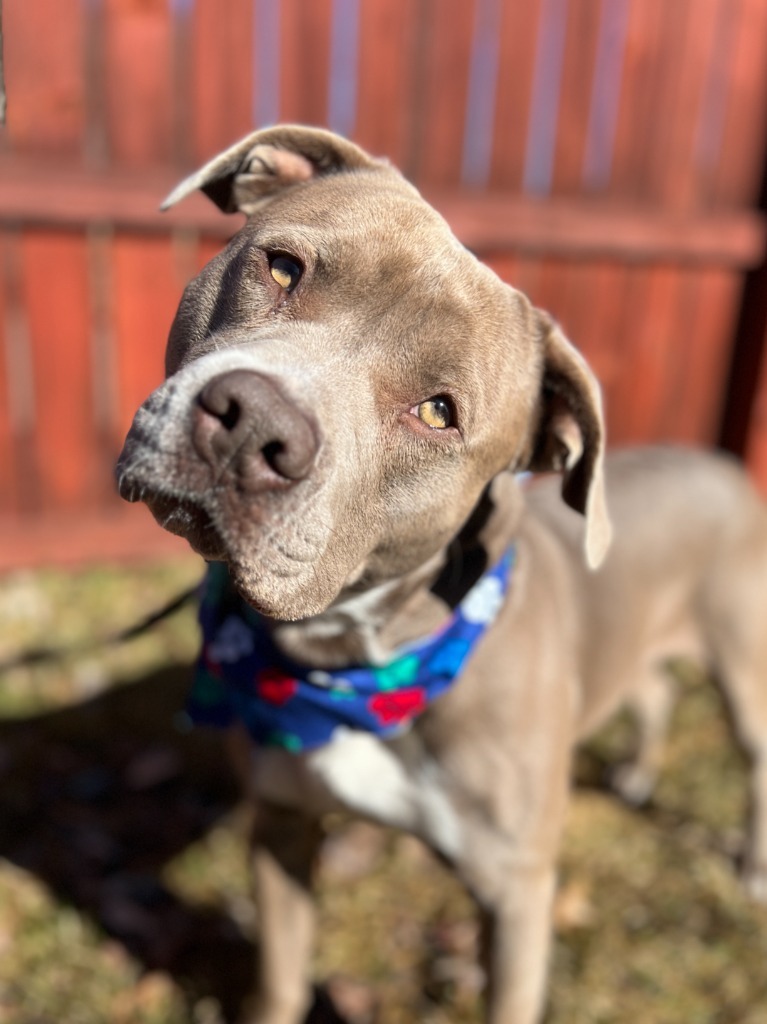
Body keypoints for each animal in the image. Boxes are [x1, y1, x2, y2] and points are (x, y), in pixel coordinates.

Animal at [116, 128, 765, 1024]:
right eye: (281, 268)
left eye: (438, 412)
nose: (254, 426)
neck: (352, 657)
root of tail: (723, 464)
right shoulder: (280, 825)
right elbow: (280, 977)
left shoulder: (516, 898)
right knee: (654, 690)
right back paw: (635, 775)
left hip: (743, 670)